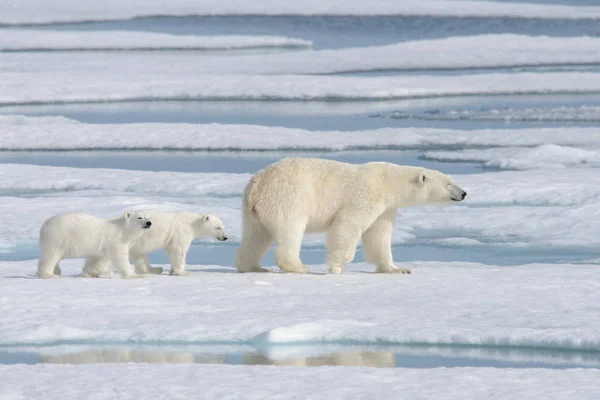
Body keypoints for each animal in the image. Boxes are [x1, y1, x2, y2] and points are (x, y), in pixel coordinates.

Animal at [236, 159, 468, 276]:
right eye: (449, 183)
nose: (464, 193)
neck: (388, 182)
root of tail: (257, 184)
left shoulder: (385, 209)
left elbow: (379, 237)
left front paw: (398, 269)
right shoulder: (366, 195)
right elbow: (348, 225)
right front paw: (336, 266)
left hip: (254, 209)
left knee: (256, 235)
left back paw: (252, 266)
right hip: (289, 196)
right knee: (291, 230)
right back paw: (299, 266)